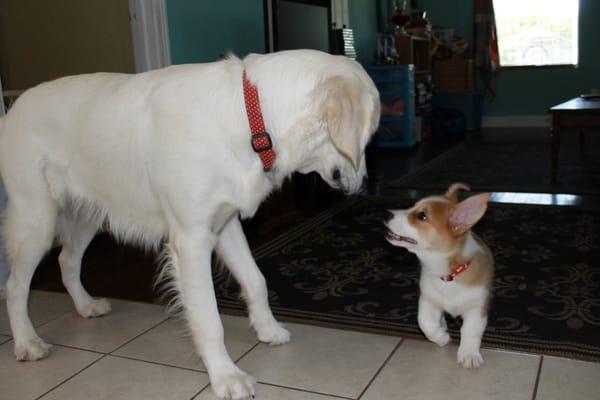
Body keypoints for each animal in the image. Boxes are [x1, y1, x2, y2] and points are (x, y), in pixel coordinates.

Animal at [384, 183, 492, 368]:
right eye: (413, 206)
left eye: (421, 216)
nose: (386, 213)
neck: (448, 275)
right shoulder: (428, 301)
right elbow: (425, 323)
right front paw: (442, 337)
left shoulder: (477, 308)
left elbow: (470, 331)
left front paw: (469, 354)